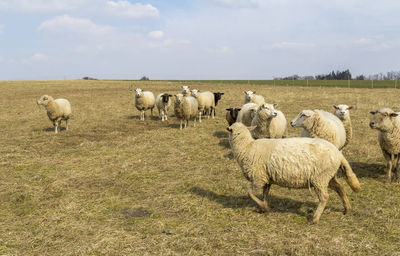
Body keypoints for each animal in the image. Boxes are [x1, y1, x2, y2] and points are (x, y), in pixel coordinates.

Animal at [227, 122, 360, 224]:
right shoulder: (267, 177)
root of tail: (338, 154)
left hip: (320, 177)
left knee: (324, 197)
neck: (246, 147)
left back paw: (314, 219)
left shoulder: (258, 177)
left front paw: (264, 207)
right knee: (340, 188)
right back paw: (347, 209)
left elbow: (250, 193)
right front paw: (264, 208)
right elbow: (265, 193)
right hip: (327, 176)